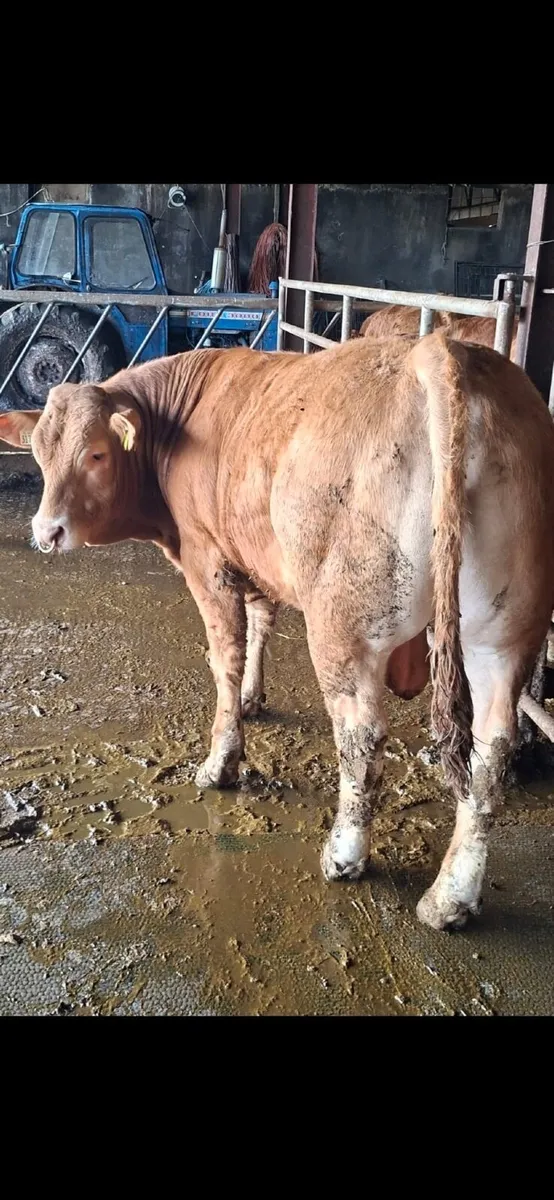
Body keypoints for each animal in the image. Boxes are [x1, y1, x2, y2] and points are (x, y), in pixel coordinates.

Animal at [0, 331, 553, 933]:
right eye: (40, 454)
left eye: (96, 453)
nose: (46, 532)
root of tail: (441, 350)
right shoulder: (254, 554)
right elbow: (261, 623)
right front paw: (253, 698)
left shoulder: (208, 559)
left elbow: (226, 655)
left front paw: (221, 758)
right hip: (503, 632)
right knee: (491, 750)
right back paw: (451, 896)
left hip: (344, 626)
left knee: (361, 735)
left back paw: (345, 853)